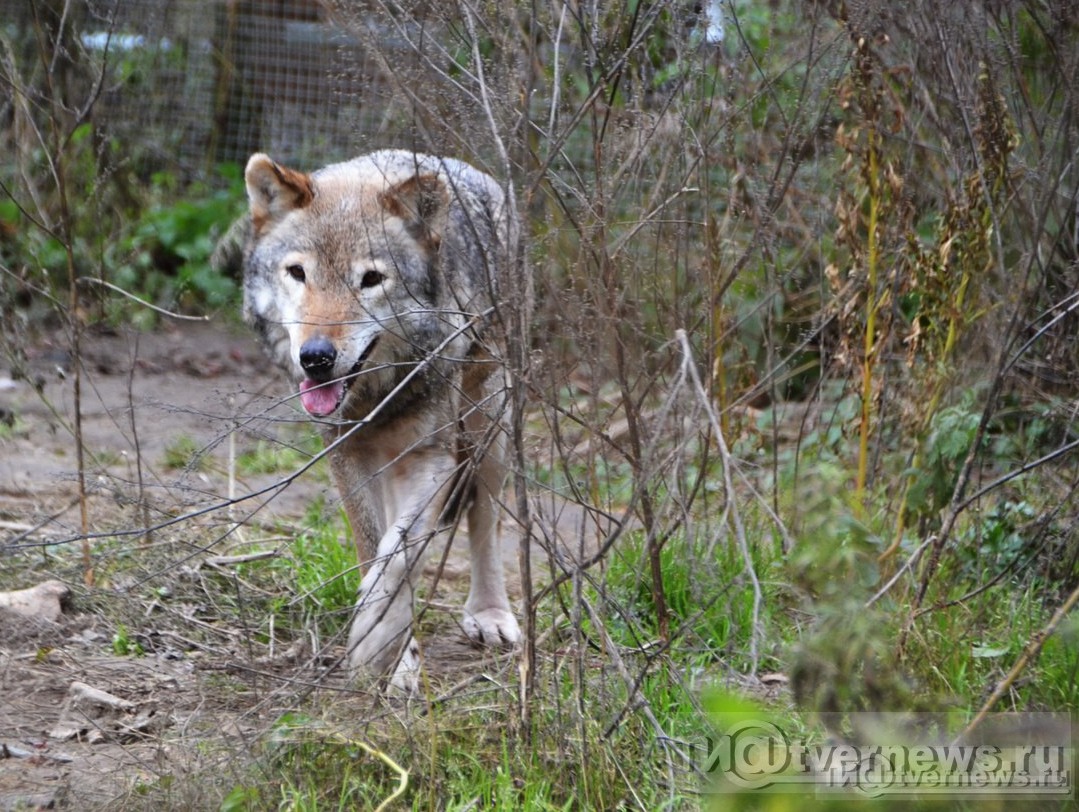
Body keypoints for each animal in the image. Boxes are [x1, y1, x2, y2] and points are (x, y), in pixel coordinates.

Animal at [236, 148, 526, 685]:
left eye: (370, 279)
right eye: (298, 273)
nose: (316, 358)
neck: (378, 394)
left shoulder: (432, 457)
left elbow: (400, 557)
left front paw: (376, 642)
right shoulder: (346, 454)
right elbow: (375, 549)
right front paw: (399, 657)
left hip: (488, 426)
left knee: (485, 517)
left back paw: (490, 614)